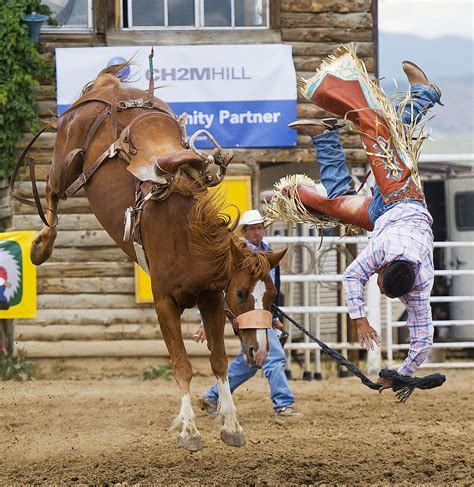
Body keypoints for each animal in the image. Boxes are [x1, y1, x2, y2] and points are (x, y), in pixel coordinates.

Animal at [25, 66, 286, 452]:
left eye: (270, 296)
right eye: (240, 293)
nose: (261, 352)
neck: (190, 237)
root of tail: (108, 85)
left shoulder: (210, 301)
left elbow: (219, 361)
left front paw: (231, 425)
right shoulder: (164, 303)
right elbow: (182, 365)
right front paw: (189, 431)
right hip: (65, 159)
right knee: (51, 189)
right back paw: (41, 246)